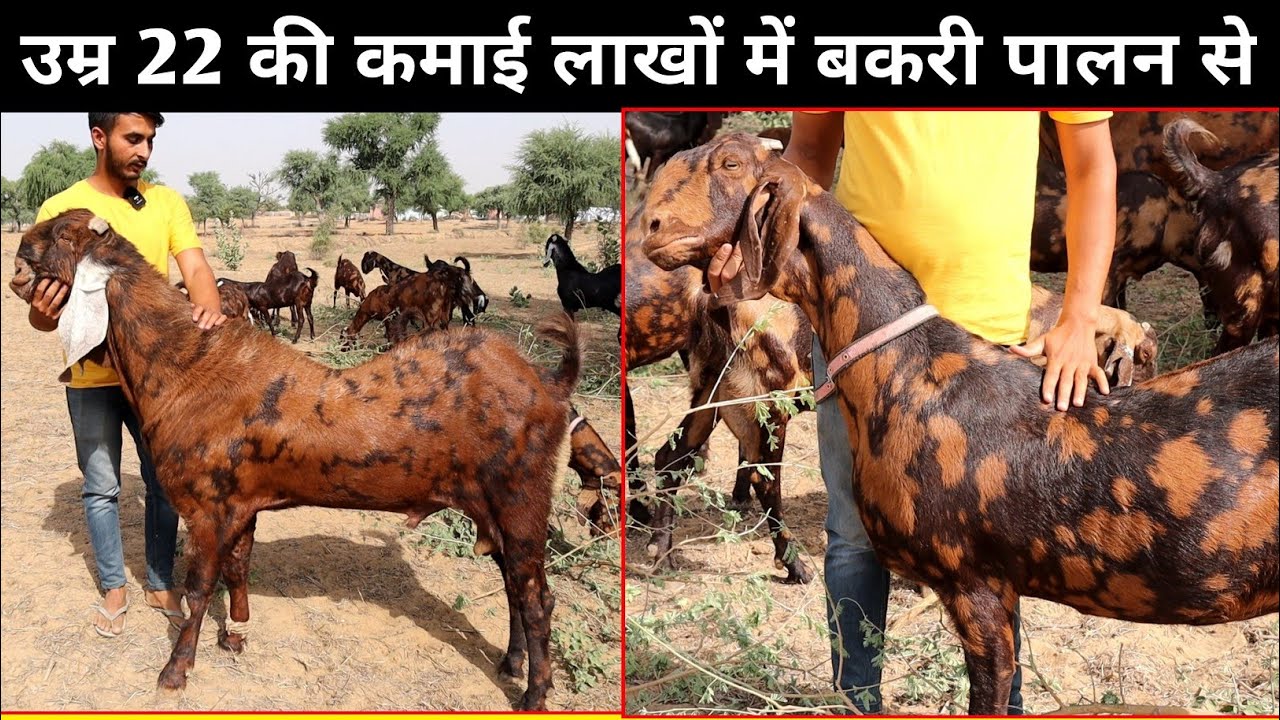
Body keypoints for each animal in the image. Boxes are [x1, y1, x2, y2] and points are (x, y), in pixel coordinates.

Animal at [10, 208, 584, 711]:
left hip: (521, 502)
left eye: (61, 233)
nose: (18, 258)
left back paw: (534, 693)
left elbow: (198, 589)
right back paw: (510, 664)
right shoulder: (240, 507)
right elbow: (238, 568)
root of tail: (549, 383)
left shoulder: (206, 510)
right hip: (492, 510)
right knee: (514, 587)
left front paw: (175, 671)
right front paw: (234, 636)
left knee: (538, 599)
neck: (186, 366)